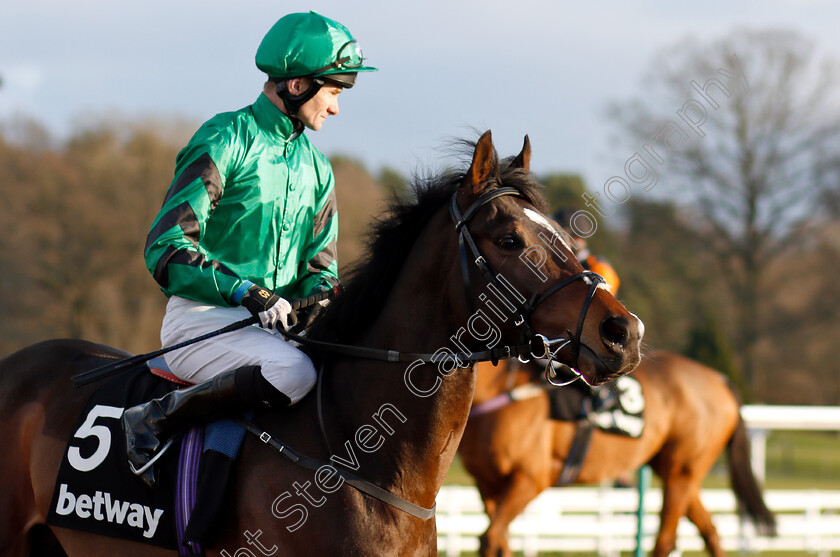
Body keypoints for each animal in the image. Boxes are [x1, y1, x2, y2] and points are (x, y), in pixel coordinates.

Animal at [456, 350, 776, 552]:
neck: (500, 392)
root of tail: (720, 379)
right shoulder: (487, 484)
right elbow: (498, 540)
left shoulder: (531, 478)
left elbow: (490, 538)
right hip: (678, 473)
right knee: (709, 531)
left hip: (682, 470)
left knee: (665, 540)